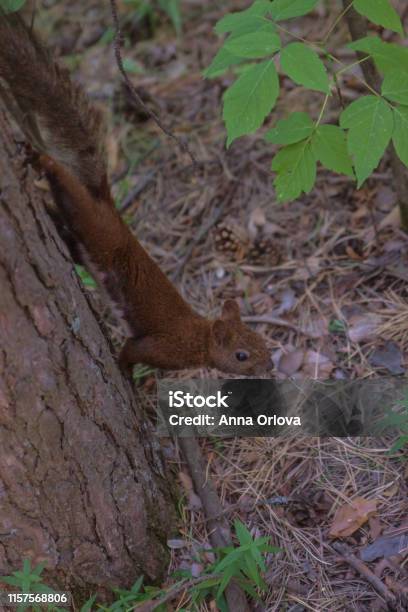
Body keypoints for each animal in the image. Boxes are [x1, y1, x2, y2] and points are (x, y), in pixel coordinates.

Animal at [0, 11, 274, 378]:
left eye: (261, 339)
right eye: (242, 355)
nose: (271, 365)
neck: (199, 339)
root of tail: (107, 203)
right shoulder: (163, 347)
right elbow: (132, 351)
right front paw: (127, 376)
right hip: (93, 223)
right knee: (69, 191)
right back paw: (43, 162)